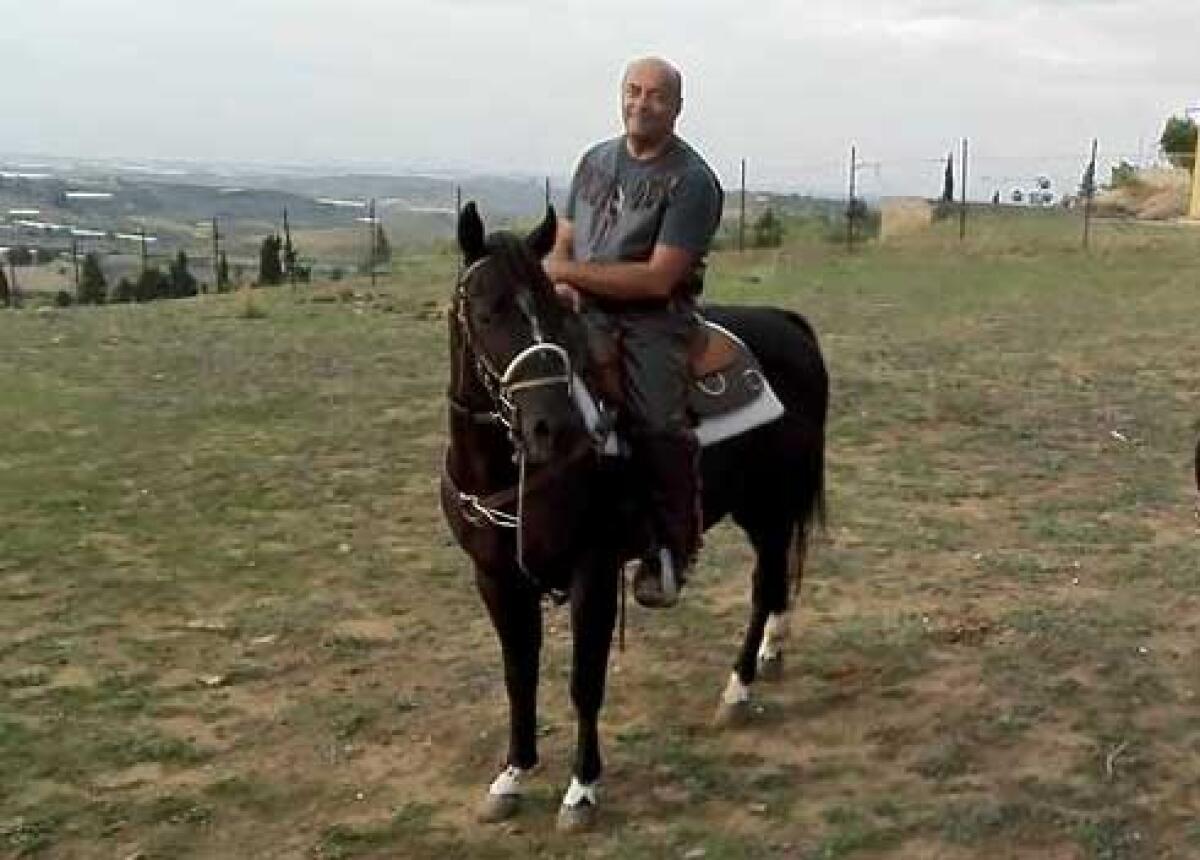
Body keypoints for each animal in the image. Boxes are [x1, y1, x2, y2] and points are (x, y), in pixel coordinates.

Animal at [439, 202, 828, 830]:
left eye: (552, 311)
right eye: (486, 309)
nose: (553, 428)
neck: (507, 471)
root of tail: (785, 322)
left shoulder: (593, 574)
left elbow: (584, 682)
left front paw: (581, 789)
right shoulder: (495, 579)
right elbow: (518, 676)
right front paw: (513, 775)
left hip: (768, 505)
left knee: (764, 583)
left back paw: (738, 688)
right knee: (775, 584)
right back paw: (772, 650)